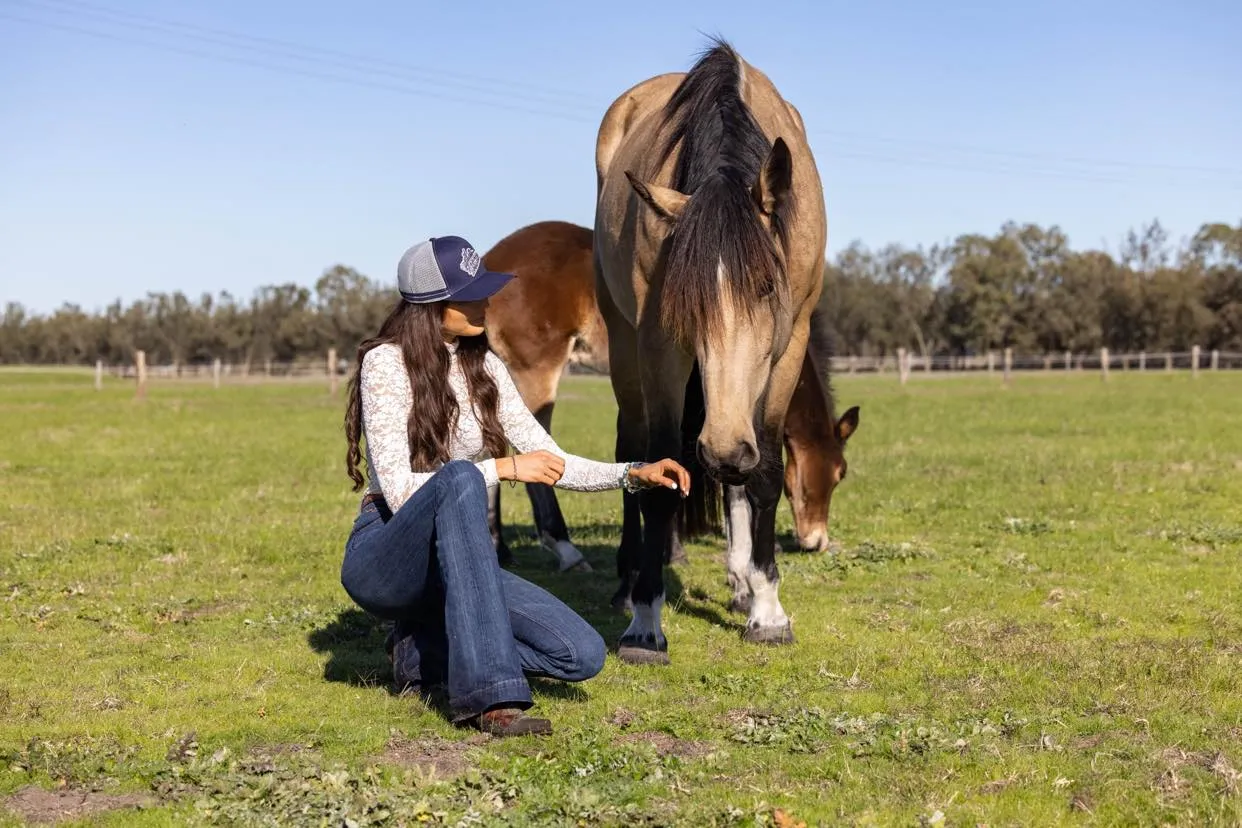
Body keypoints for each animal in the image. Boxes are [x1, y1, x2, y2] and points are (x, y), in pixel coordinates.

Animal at [479, 223, 859, 580]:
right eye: (839, 473)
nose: (816, 541)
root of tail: (490, 262)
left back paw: (501, 548)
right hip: (537, 372)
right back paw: (565, 548)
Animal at [591, 38, 834, 665]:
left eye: (768, 288)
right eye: (686, 299)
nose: (723, 450)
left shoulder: (789, 344)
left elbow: (763, 474)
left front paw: (766, 608)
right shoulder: (657, 345)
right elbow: (656, 470)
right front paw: (645, 624)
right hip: (625, 346)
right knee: (631, 452)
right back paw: (627, 582)